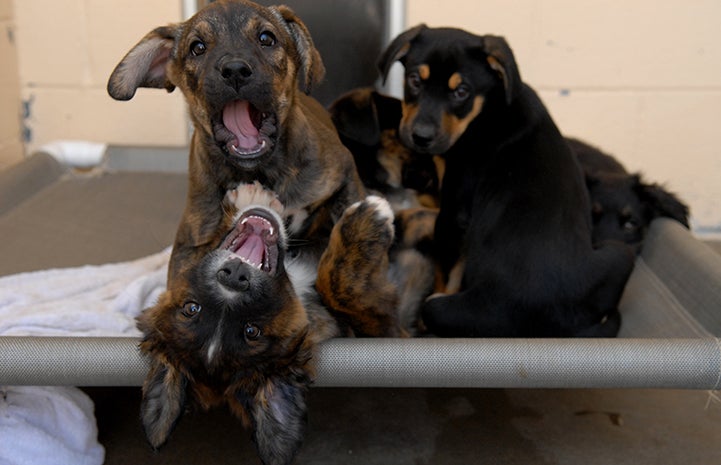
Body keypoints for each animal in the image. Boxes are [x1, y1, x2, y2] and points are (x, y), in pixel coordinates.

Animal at [106, 0, 362, 292]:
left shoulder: (345, 174)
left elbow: (350, 220)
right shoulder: (186, 247)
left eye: (266, 38)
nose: (235, 70)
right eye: (197, 47)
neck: (261, 170)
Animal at [137, 182, 396, 464]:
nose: (235, 276)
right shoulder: (386, 328)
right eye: (251, 330)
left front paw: (250, 197)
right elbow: (337, 287)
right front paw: (369, 219)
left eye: (191, 308)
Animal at [380, 25, 632, 336]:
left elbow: (445, 266)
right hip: (620, 253)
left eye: (461, 91)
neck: (488, 108)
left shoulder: (453, 212)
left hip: (442, 307)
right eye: (415, 80)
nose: (421, 137)